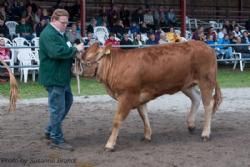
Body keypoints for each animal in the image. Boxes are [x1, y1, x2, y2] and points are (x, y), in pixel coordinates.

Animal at [80, 40, 223, 151]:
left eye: (88, 58)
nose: (78, 69)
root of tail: (206, 46)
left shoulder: (127, 95)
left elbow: (117, 120)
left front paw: (110, 144)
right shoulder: (139, 96)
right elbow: (144, 115)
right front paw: (147, 135)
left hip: (206, 81)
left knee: (208, 104)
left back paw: (205, 134)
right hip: (186, 84)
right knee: (196, 98)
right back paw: (191, 125)